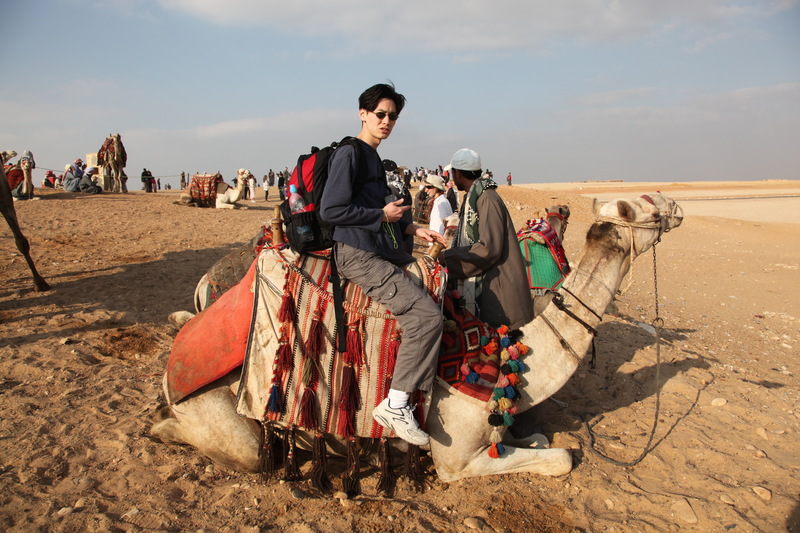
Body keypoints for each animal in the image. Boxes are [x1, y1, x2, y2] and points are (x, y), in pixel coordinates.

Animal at [0, 150, 50, 291]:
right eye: (23, 159)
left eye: (31, 158)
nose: (27, 164)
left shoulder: (5, 194)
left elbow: (21, 242)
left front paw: (39, 282)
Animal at [152, 193, 682, 483]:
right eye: (643, 205)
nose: (676, 205)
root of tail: (171, 372)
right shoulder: (456, 461)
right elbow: (562, 458)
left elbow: (537, 437)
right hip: (227, 423)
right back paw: (162, 427)